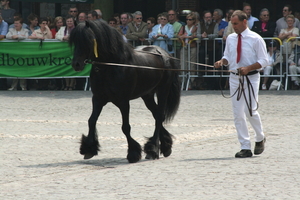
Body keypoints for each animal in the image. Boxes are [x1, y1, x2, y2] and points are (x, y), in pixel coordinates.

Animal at [68, 20, 180, 163]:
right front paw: (89, 149)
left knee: (159, 116)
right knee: (157, 116)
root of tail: (165, 54)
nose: (76, 64)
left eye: (88, 40)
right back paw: (165, 146)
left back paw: (153, 150)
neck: (112, 66)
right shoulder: (98, 99)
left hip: (162, 91)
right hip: (147, 95)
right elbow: (91, 121)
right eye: (75, 41)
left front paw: (133, 153)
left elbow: (125, 127)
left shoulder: (123, 101)